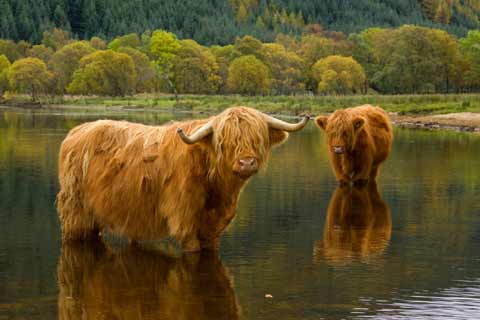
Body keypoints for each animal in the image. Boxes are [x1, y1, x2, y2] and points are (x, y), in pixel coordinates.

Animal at [56, 106, 310, 251]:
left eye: (257, 138)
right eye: (225, 142)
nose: (246, 162)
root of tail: (75, 132)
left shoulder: (214, 227)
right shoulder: (184, 219)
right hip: (75, 212)